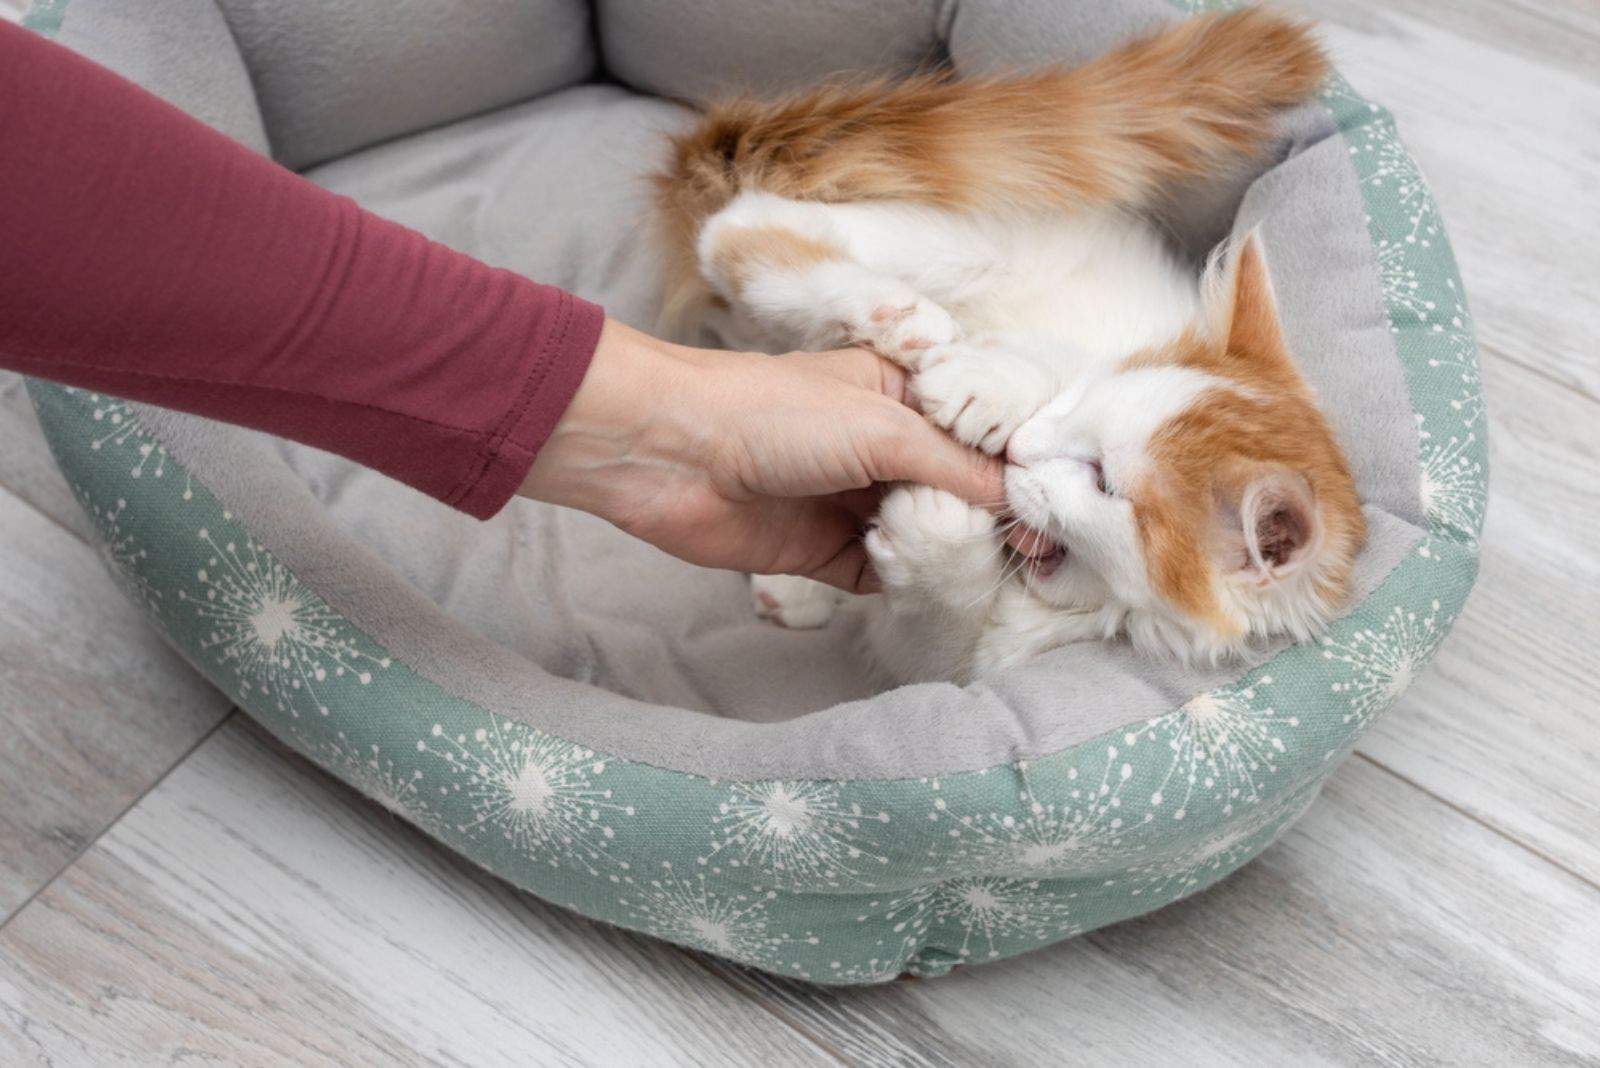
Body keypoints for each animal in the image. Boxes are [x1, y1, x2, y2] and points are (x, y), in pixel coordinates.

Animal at [649, 8, 1363, 684]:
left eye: (1103, 482)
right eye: (1080, 406)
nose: (1021, 450)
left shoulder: (978, 658)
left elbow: (935, 648)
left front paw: (933, 543)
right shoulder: (1096, 338)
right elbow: (1046, 355)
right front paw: (985, 388)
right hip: (980, 238)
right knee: (740, 229)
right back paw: (893, 316)